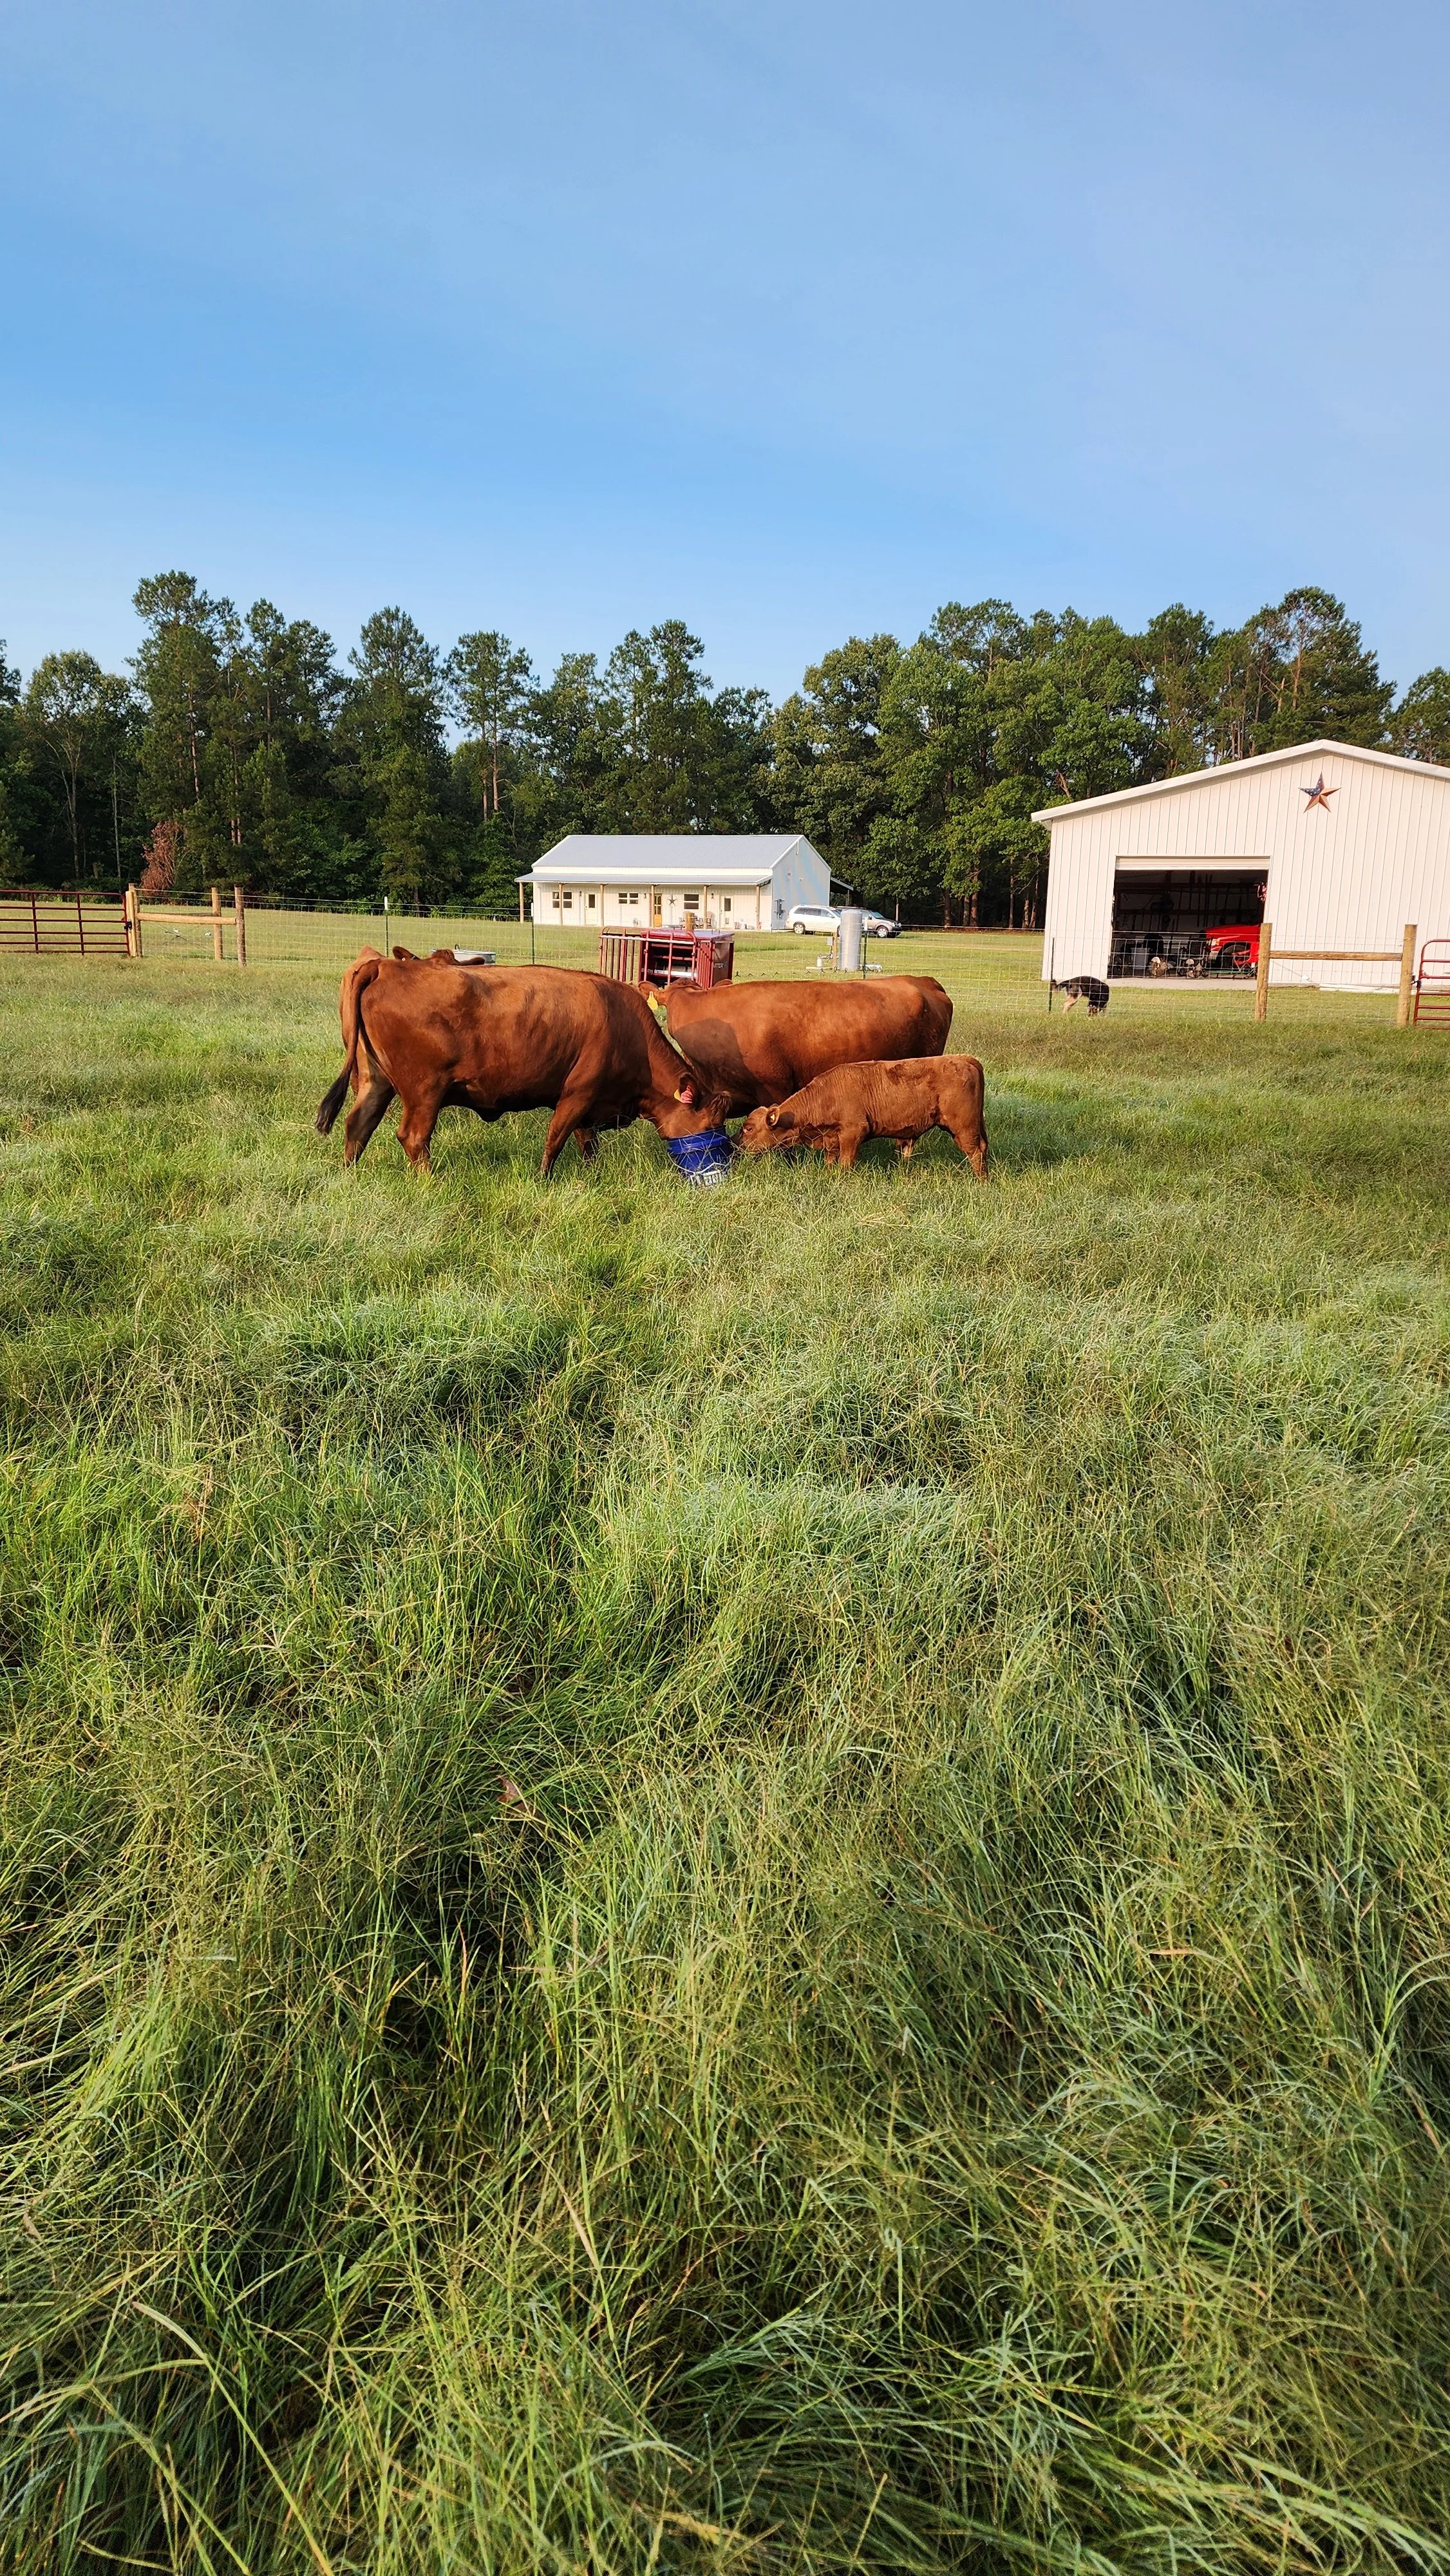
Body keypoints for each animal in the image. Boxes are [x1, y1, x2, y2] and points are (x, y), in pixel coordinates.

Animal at [315, 953, 730, 1174]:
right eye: (710, 1122)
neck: (626, 1027)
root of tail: (384, 965)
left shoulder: (587, 1103)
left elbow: (588, 1142)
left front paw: (593, 1174)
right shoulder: (578, 1093)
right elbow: (556, 1139)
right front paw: (545, 1180)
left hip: (376, 1081)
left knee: (358, 1124)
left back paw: (350, 1175)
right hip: (424, 1091)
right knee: (414, 1137)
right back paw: (429, 1182)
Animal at [738, 1055, 988, 1177]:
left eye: (749, 1128)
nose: (736, 1146)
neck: (825, 1095)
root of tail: (965, 1059)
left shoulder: (853, 1132)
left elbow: (845, 1163)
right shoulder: (832, 1137)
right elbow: (831, 1159)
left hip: (963, 1127)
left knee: (975, 1152)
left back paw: (978, 1181)